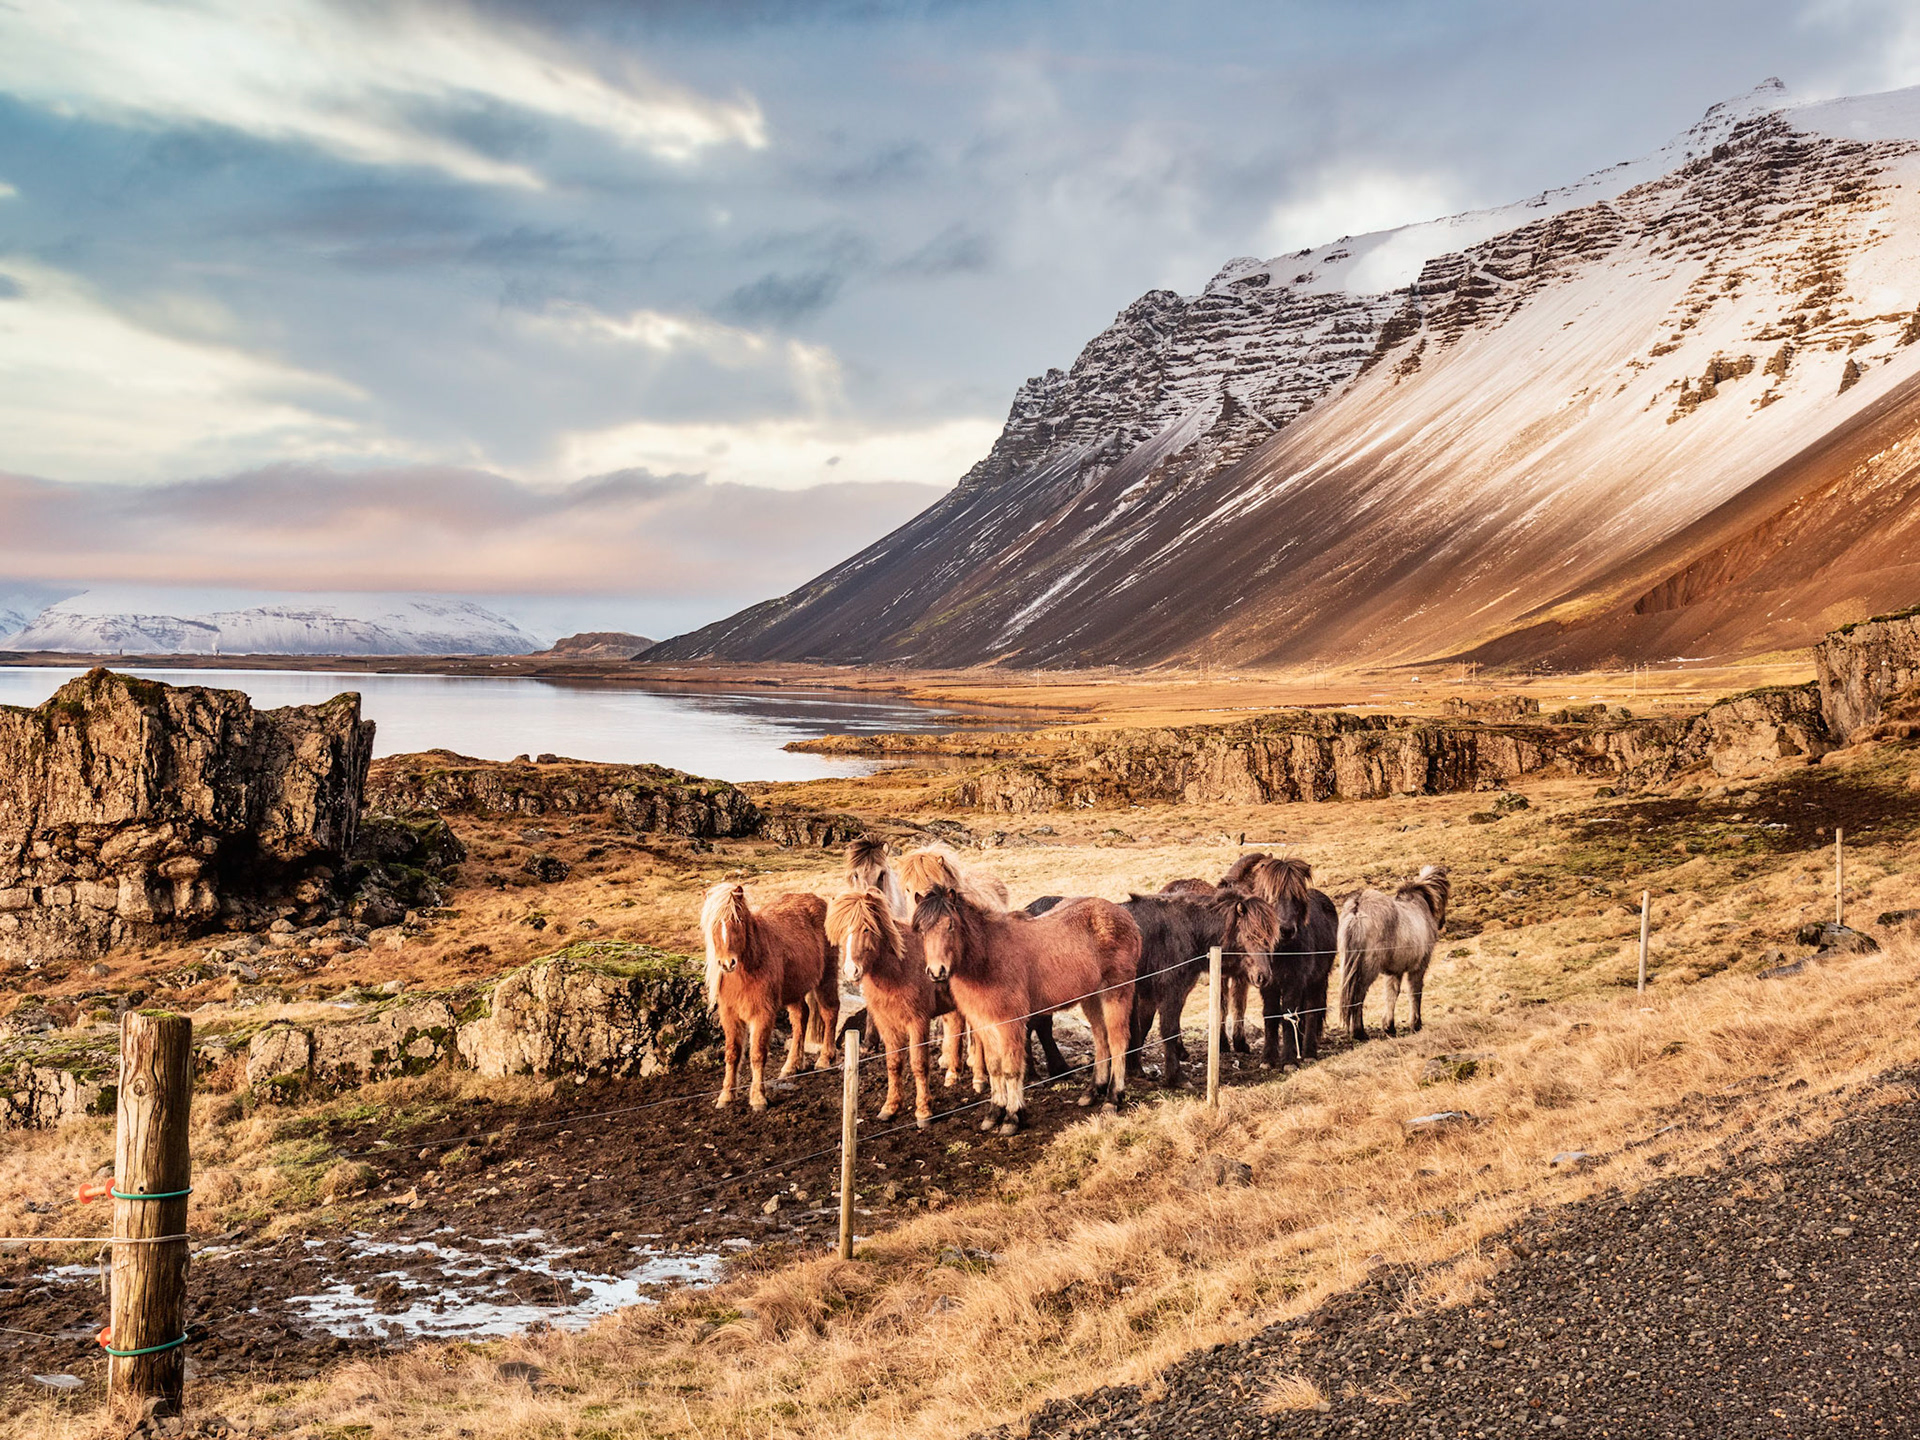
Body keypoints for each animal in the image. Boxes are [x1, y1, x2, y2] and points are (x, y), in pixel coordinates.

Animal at [701, 883, 839, 1110]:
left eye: (738, 920)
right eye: (713, 924)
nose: (727, 963)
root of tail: (818, 900)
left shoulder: (762, 1014)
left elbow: (757, 1054)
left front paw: (758, 1098)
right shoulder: (729, 1015)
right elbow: (732, 1053)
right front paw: (726, 1096)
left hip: (826, 978)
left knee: (830, 1012)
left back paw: (825, 1059)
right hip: (795, 990)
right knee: (801, 1018)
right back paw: (791, 1066)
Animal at [826, 887, 950, 1128]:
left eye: (866, 928)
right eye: (843, 930)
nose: (851, 971)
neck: (900, 968)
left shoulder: (918, 1022)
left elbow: (918, 1063)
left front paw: (923, 1112)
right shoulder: (886, 1023)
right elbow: (893, 1063)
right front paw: (890, 1107)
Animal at [914, 886, 1140, 1134]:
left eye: (950, 925)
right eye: (921, 930)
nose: (937, 971)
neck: (988, 958)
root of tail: (1124, 915)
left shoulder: (1009, 1023)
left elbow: (1011, 1069)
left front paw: (1013, 1117)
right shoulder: (984, 1023)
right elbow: (994, 1067)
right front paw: (994, 1112)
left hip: (1116, 992)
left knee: (1118, 1041)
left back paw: (1113, 1098)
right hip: (1091, 997)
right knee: (1101, 1040)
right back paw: (1092, 1092)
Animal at [1337, 865, 1451, 1041]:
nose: (1442, 922)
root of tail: (1357, 909)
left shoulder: (1394, 971)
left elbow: (1391, 994)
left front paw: (1389, 1027)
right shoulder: (1418, 968)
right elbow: (1414, 992)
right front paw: (1415, 1024)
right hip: (1367, 969)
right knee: (1358, 996)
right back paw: (1359, 1032)